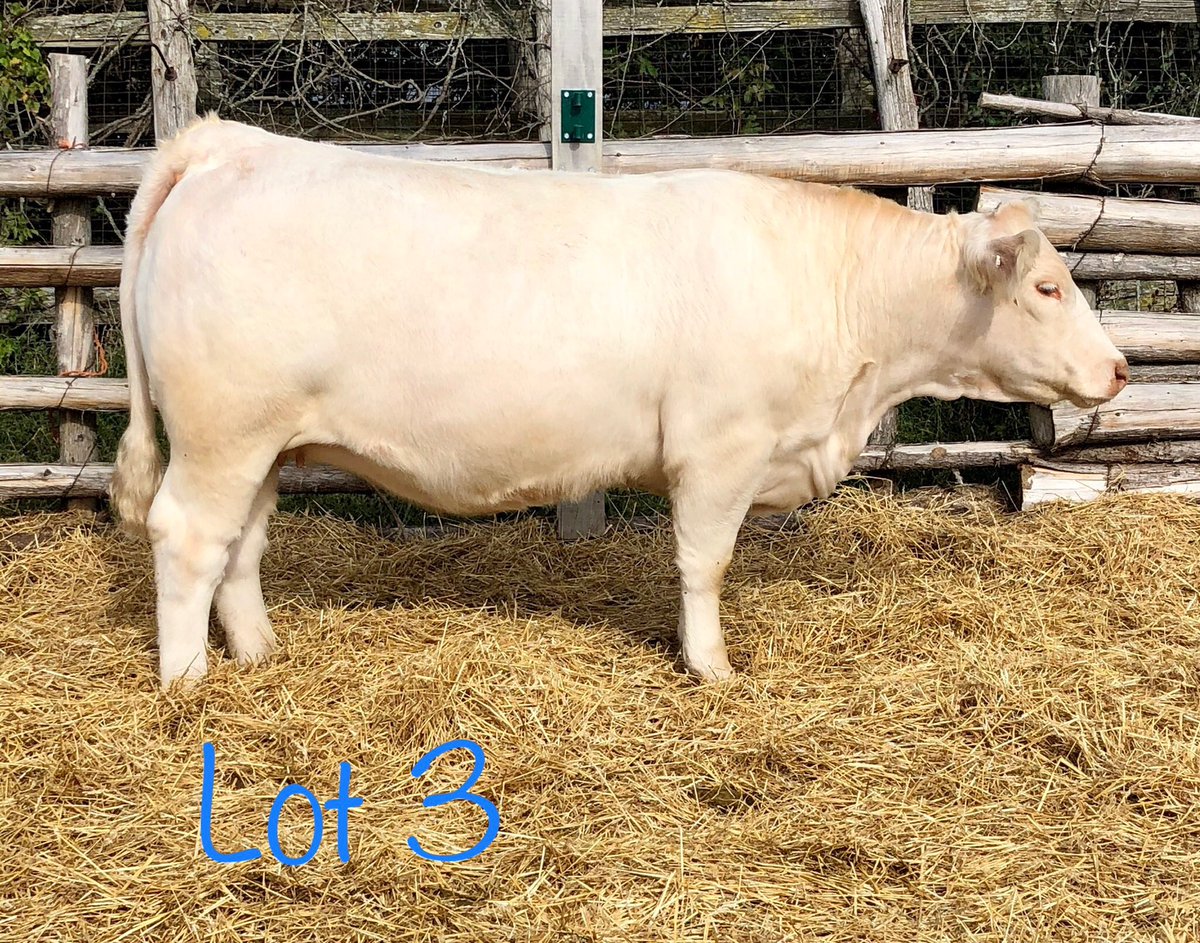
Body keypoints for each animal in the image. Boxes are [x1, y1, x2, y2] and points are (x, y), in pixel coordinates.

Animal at [111, 116, 1128, 688]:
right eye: (1046, 288)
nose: (1119, 369)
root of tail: (229, 146)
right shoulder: (719, 448)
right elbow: (705, 564)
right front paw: (711, 667)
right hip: (222, 431)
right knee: (188, 536)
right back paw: (186, 678)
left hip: (263, 441)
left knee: (241, 544)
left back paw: (257, 652)